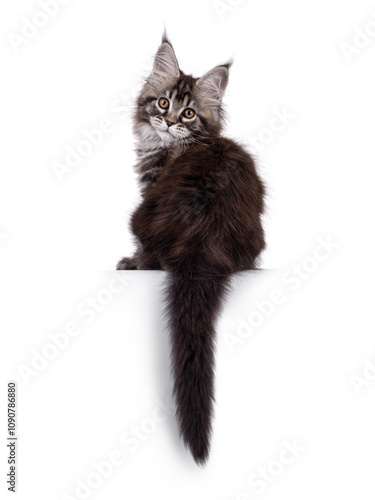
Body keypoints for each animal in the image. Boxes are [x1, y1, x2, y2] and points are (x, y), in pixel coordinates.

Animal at [117, 34, 268, 464]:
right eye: (162, 104)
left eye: (187, 114)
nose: (169, 123)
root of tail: (206, 232)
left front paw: (130, 261)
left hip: (140, 217)